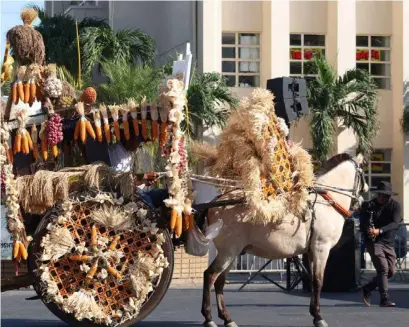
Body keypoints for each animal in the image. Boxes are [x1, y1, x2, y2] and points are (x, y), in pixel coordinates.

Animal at [200, 152, 366, 327]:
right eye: (362, 174)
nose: (362, 201)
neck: (325, 202)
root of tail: (217, 203)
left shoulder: (312, 251)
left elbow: (313, 280)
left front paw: (314, 313)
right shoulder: (321, 248)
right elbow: (318, 281)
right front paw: (319, 317)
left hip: (232, 253)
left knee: (219, 282)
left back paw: (227, 318)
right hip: (229, 252)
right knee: (210, 276)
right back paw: (209, 318)